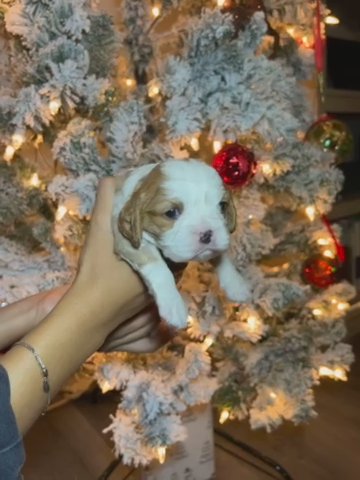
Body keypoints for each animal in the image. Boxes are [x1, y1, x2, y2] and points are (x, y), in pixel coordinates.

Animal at [112, 159, 250, 328]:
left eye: (222, 206)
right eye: (171, 212)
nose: (207, 234)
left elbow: (221, 257)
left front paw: (236, 284)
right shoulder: (126, 239)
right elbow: (157, 266)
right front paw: (173, 304)